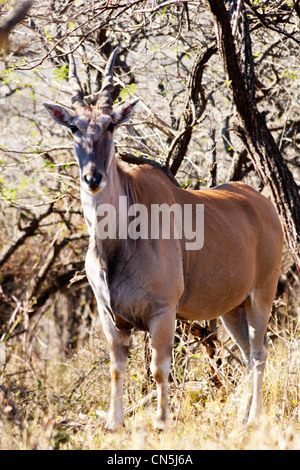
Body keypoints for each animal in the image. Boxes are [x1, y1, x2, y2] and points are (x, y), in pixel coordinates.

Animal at [43, 47, 282, 430]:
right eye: (74, 127)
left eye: (110, 125)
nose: (92, 177)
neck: (118, 241)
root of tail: (265, 206)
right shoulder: (110, 316)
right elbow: (117, 368)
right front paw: (114, 423)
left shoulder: (163, 310)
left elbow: (158, 368)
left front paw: (161, 421)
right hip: (233, 308)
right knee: (247, 354)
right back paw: (240, 415)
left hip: (263, 293)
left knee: (259, 352)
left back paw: (254, 418)